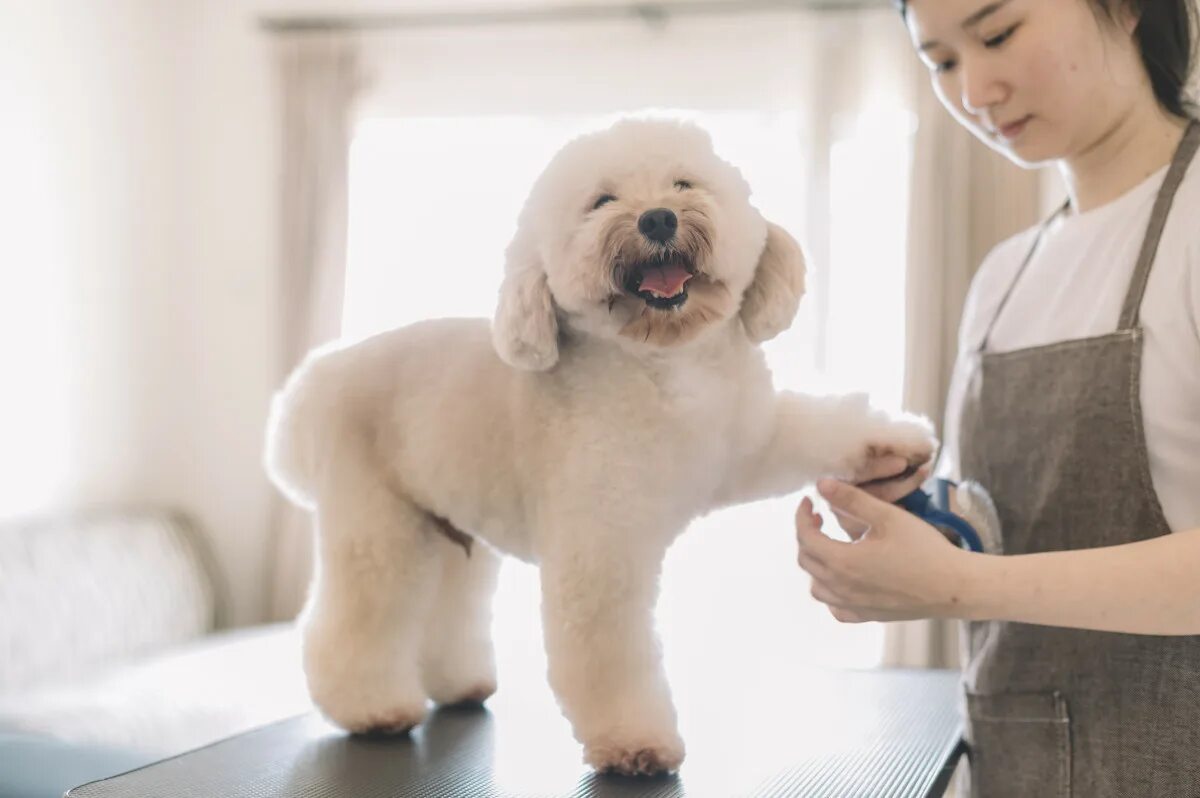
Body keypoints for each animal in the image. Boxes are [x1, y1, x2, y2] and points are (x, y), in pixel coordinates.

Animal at [265, 117, 936, 772]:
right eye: (602, 202)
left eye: (684, 184)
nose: (657, 218)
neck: (665, 368)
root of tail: (316, 383)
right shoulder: (602, 547)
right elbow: (609, 652)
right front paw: (635, 742)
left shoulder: (747, 439)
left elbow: (815, 426)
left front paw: (893, 444)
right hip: (378, 527)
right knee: (356, 618)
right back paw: (371, 709)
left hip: (454, 528)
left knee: (451, 606)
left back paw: (459, 684)